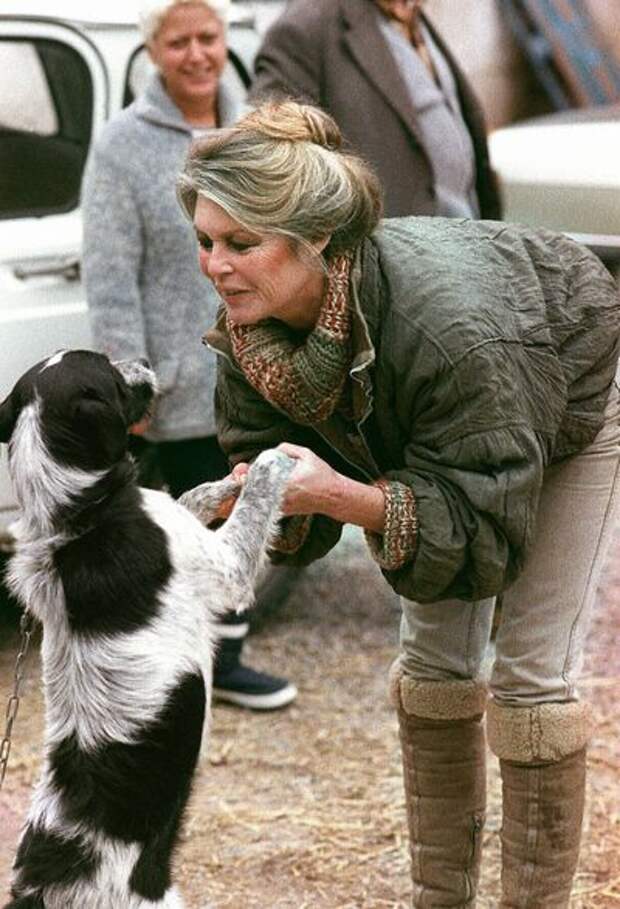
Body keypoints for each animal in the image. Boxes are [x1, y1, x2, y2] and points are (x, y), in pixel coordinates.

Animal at [0, 350, 296, 908]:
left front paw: (225, 482)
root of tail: (47, 887)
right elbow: (254, 504)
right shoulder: (228, 567)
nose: (142, 360)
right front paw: (272, 461)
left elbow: (189, 496)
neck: (78, 514)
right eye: (108, 370)